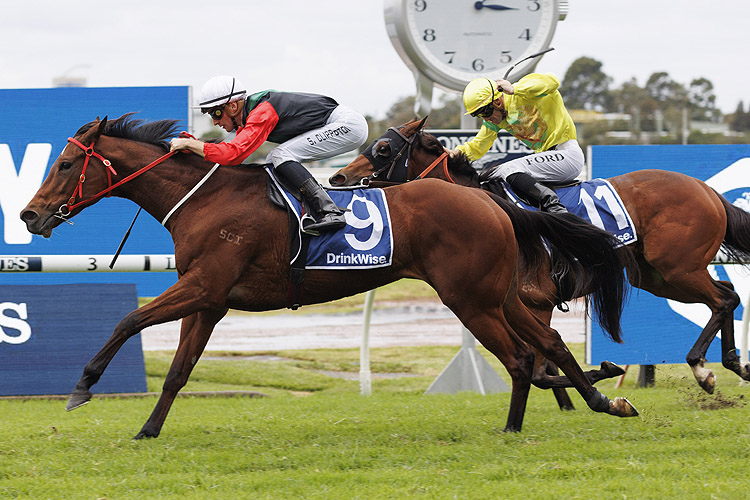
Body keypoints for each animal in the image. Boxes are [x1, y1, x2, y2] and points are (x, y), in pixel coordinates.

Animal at [19, 113, 640, 438]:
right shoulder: (209, 300)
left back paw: (517, 428)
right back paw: (603, 398)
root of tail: (490, 200)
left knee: (519, 358)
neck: (206, 199)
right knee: (544, 345)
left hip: (471, 299)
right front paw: (148, 430)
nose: (29, 215)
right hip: (498, 294)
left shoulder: (200, 286)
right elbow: (176, 372)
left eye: (66, 163)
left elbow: (129, 320)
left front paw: (81, 388)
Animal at [330, 117, 750, 398]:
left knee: (723, 299)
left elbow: (541, 362)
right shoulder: (532, 304)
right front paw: (595, 378)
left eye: (383, 149)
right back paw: (733, 363)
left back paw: (704, 369)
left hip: (677, 268)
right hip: (656, 276)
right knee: (727, 292)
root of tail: (707, 190)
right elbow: (542, 366)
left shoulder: (535, 299)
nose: (338, 178)